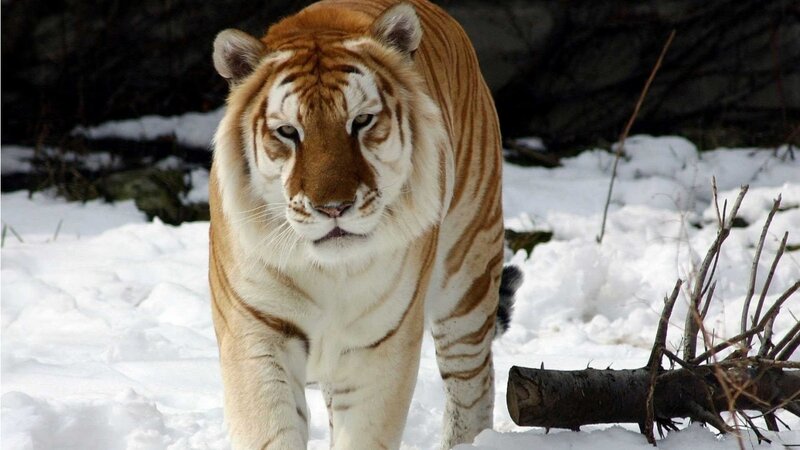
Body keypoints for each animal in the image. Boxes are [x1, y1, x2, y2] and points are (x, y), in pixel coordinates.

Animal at [208, 0, 521, 448]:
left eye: (361, 122)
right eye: (288, 132)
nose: (333, 207)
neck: (329, 271)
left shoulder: (380, 343)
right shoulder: (256, 331)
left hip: (469, 273)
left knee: (471, 384)